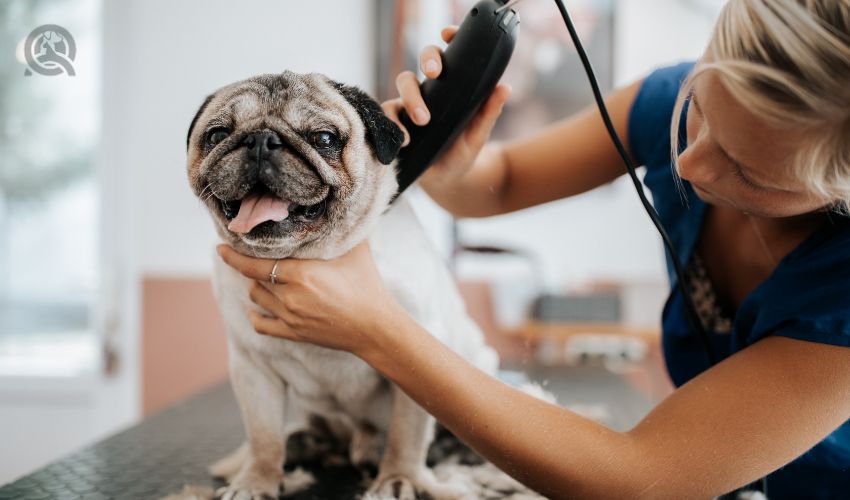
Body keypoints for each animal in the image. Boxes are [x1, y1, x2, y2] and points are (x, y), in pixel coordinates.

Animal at [187, 71, 496, 500]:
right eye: (218, 135)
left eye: (324, 138)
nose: (261, 140)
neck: (308, 258)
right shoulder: (253, 370)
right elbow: (263, 436)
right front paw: (255, 481)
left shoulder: (415, 363)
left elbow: (406, 434)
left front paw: (398, 478)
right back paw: (317, 445)